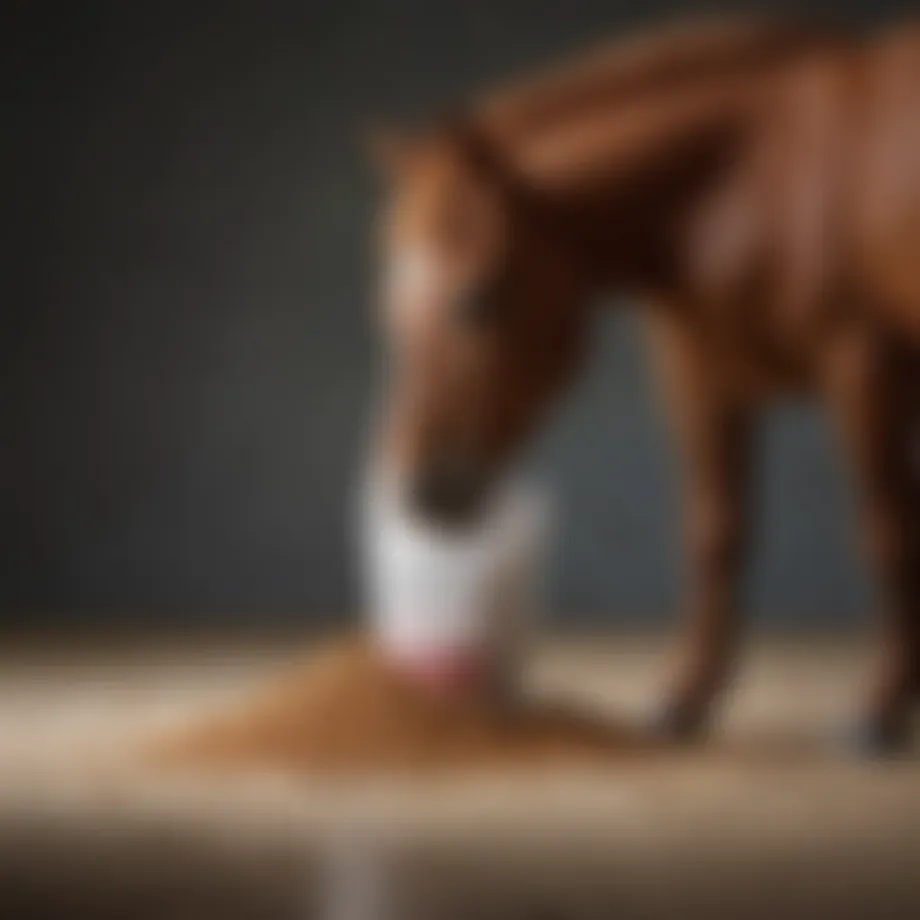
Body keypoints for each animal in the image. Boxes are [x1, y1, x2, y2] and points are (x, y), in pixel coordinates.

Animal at [368, 16, 920, 755]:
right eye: (389, 304)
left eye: (479, 299)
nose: (421, 492)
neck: (757, 177)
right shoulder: (699, 376)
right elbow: (714, 533)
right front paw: (684, 700)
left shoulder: (864, 368)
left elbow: (887, 532)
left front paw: (880, 711)